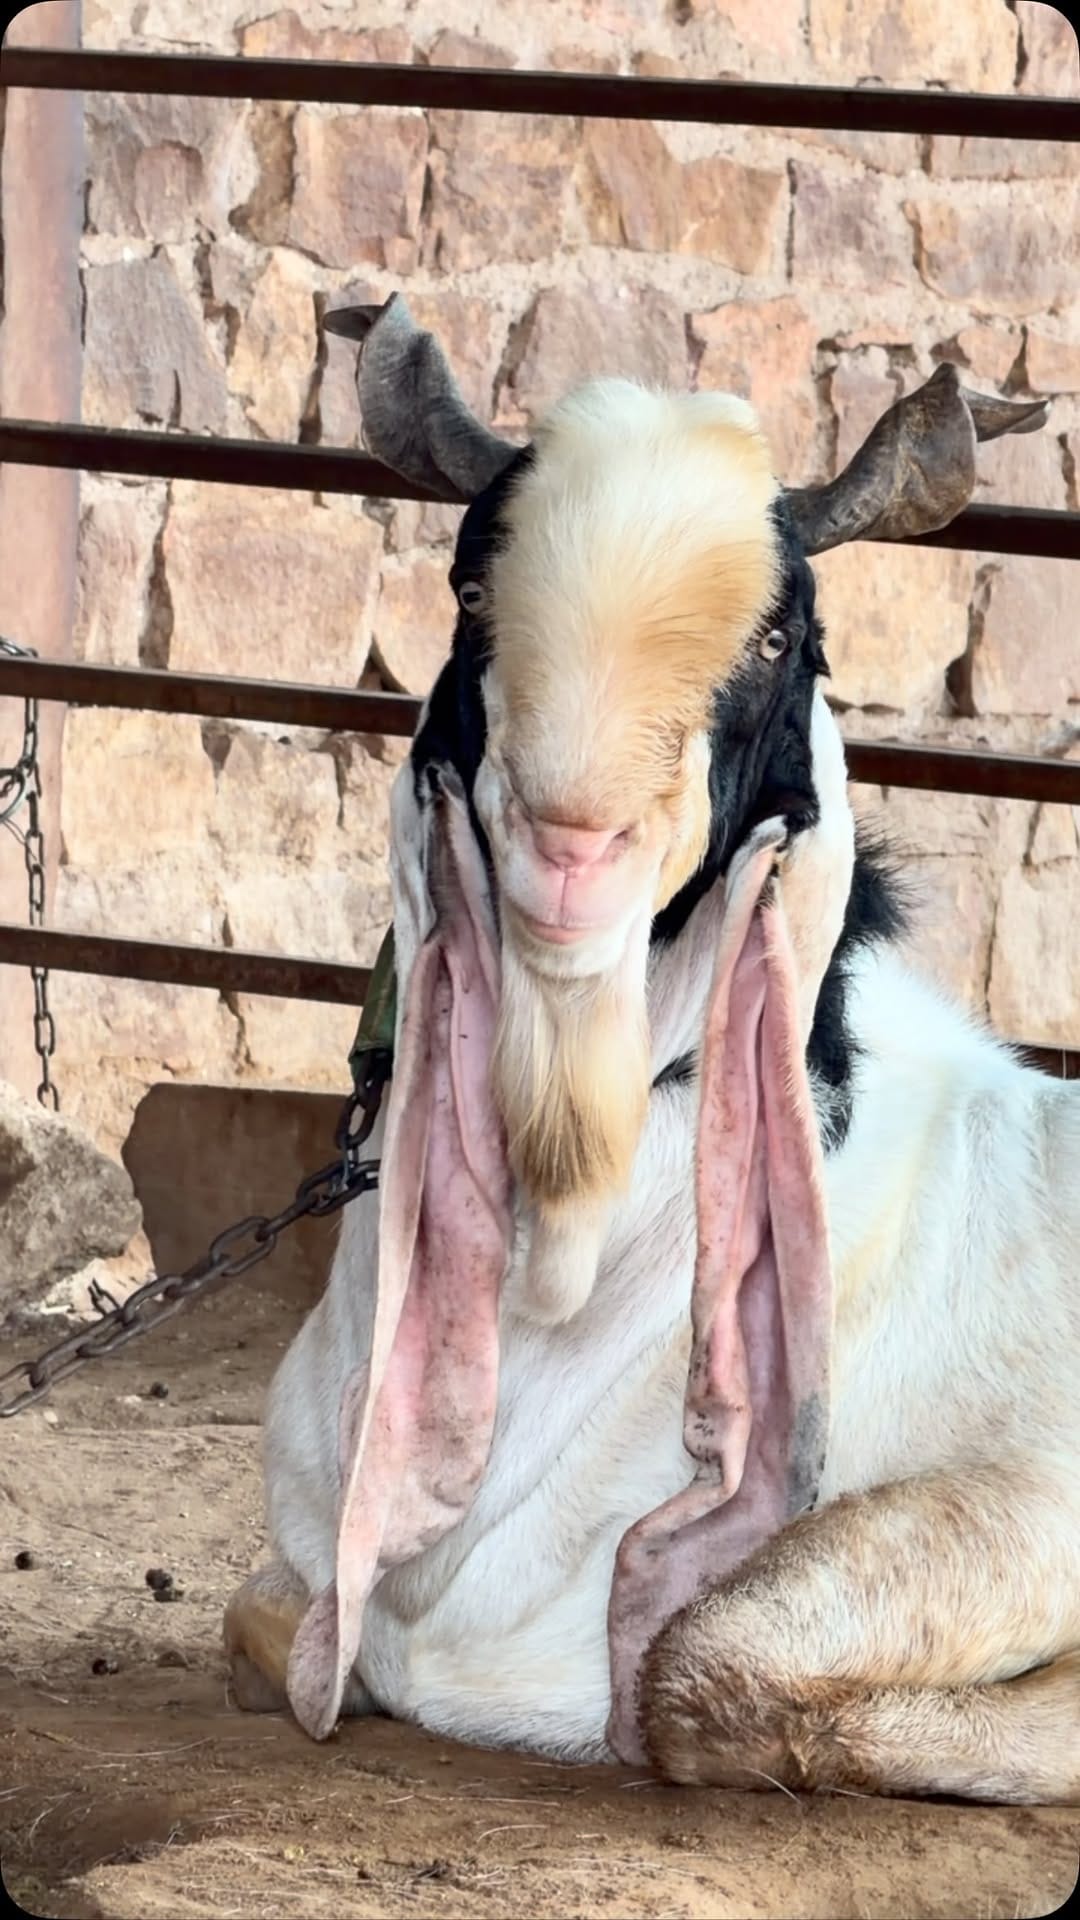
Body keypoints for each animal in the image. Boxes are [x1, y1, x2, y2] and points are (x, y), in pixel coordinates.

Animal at [225, 296, 1080, 1804]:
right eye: (470, 595)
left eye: (784, 641)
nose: (576, 853)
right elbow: (265, 1625)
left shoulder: (1036, 1496)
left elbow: (696, 1666)